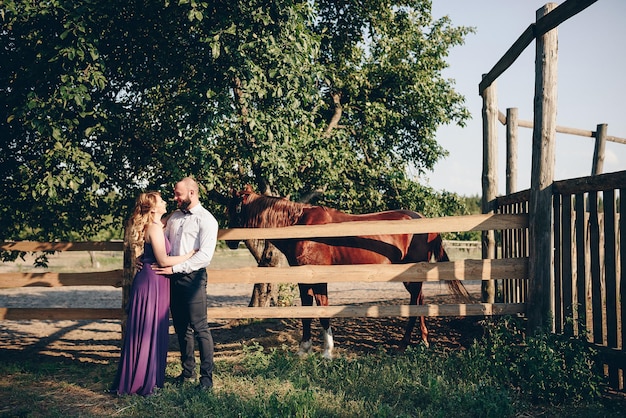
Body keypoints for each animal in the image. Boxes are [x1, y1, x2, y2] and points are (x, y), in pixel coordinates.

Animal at [224, 187, 468, 360]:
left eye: (233, 210)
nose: (229, 242)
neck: (300, 226)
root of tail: (423, 221)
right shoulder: (304, 279)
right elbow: (306, 312)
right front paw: (304, 349)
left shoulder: (319, 278)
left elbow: (322, 311)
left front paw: (327, 351)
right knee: (419, 300)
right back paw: (422, 341)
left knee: (415, 302)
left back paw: (406, 344)